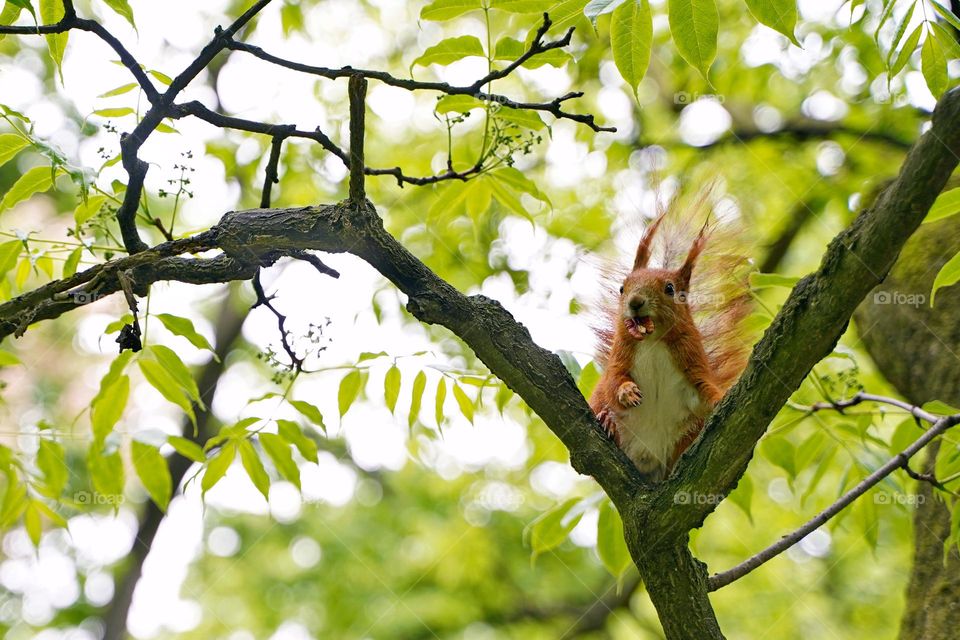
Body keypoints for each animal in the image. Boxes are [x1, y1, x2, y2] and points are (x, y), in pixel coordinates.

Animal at [588, 204, 752, 481]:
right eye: (622, 288)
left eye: (670, 289)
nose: (635, 302)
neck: (653, 339)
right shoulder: (620, 357)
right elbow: (614, 381)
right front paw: (627, 392)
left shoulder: (692, 360)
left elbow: (704, 390)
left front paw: (719, 398)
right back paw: (609, 421)